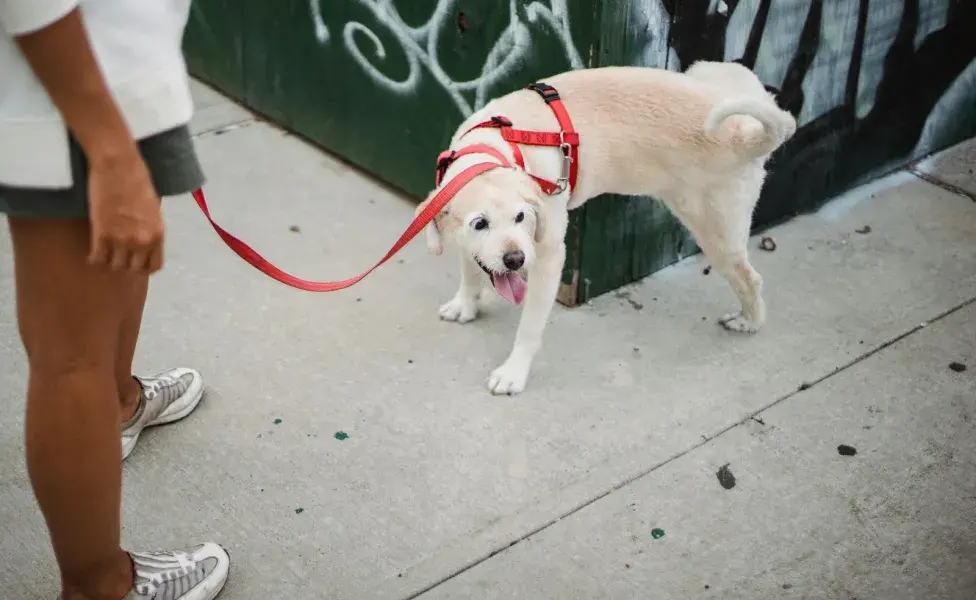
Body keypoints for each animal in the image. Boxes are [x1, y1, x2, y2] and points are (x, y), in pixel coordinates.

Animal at [416, 61, 796, 396]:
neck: (495, 148)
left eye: (522, 217)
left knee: (749, 278)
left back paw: (749, 322)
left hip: (716, 230)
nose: (515, 260)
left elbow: (529, 326)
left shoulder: (549, 256)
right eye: (479, 224)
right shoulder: (470, 241)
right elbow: (471, 270)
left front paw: (513, 373)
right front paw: (465, 305)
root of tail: (743, 134)